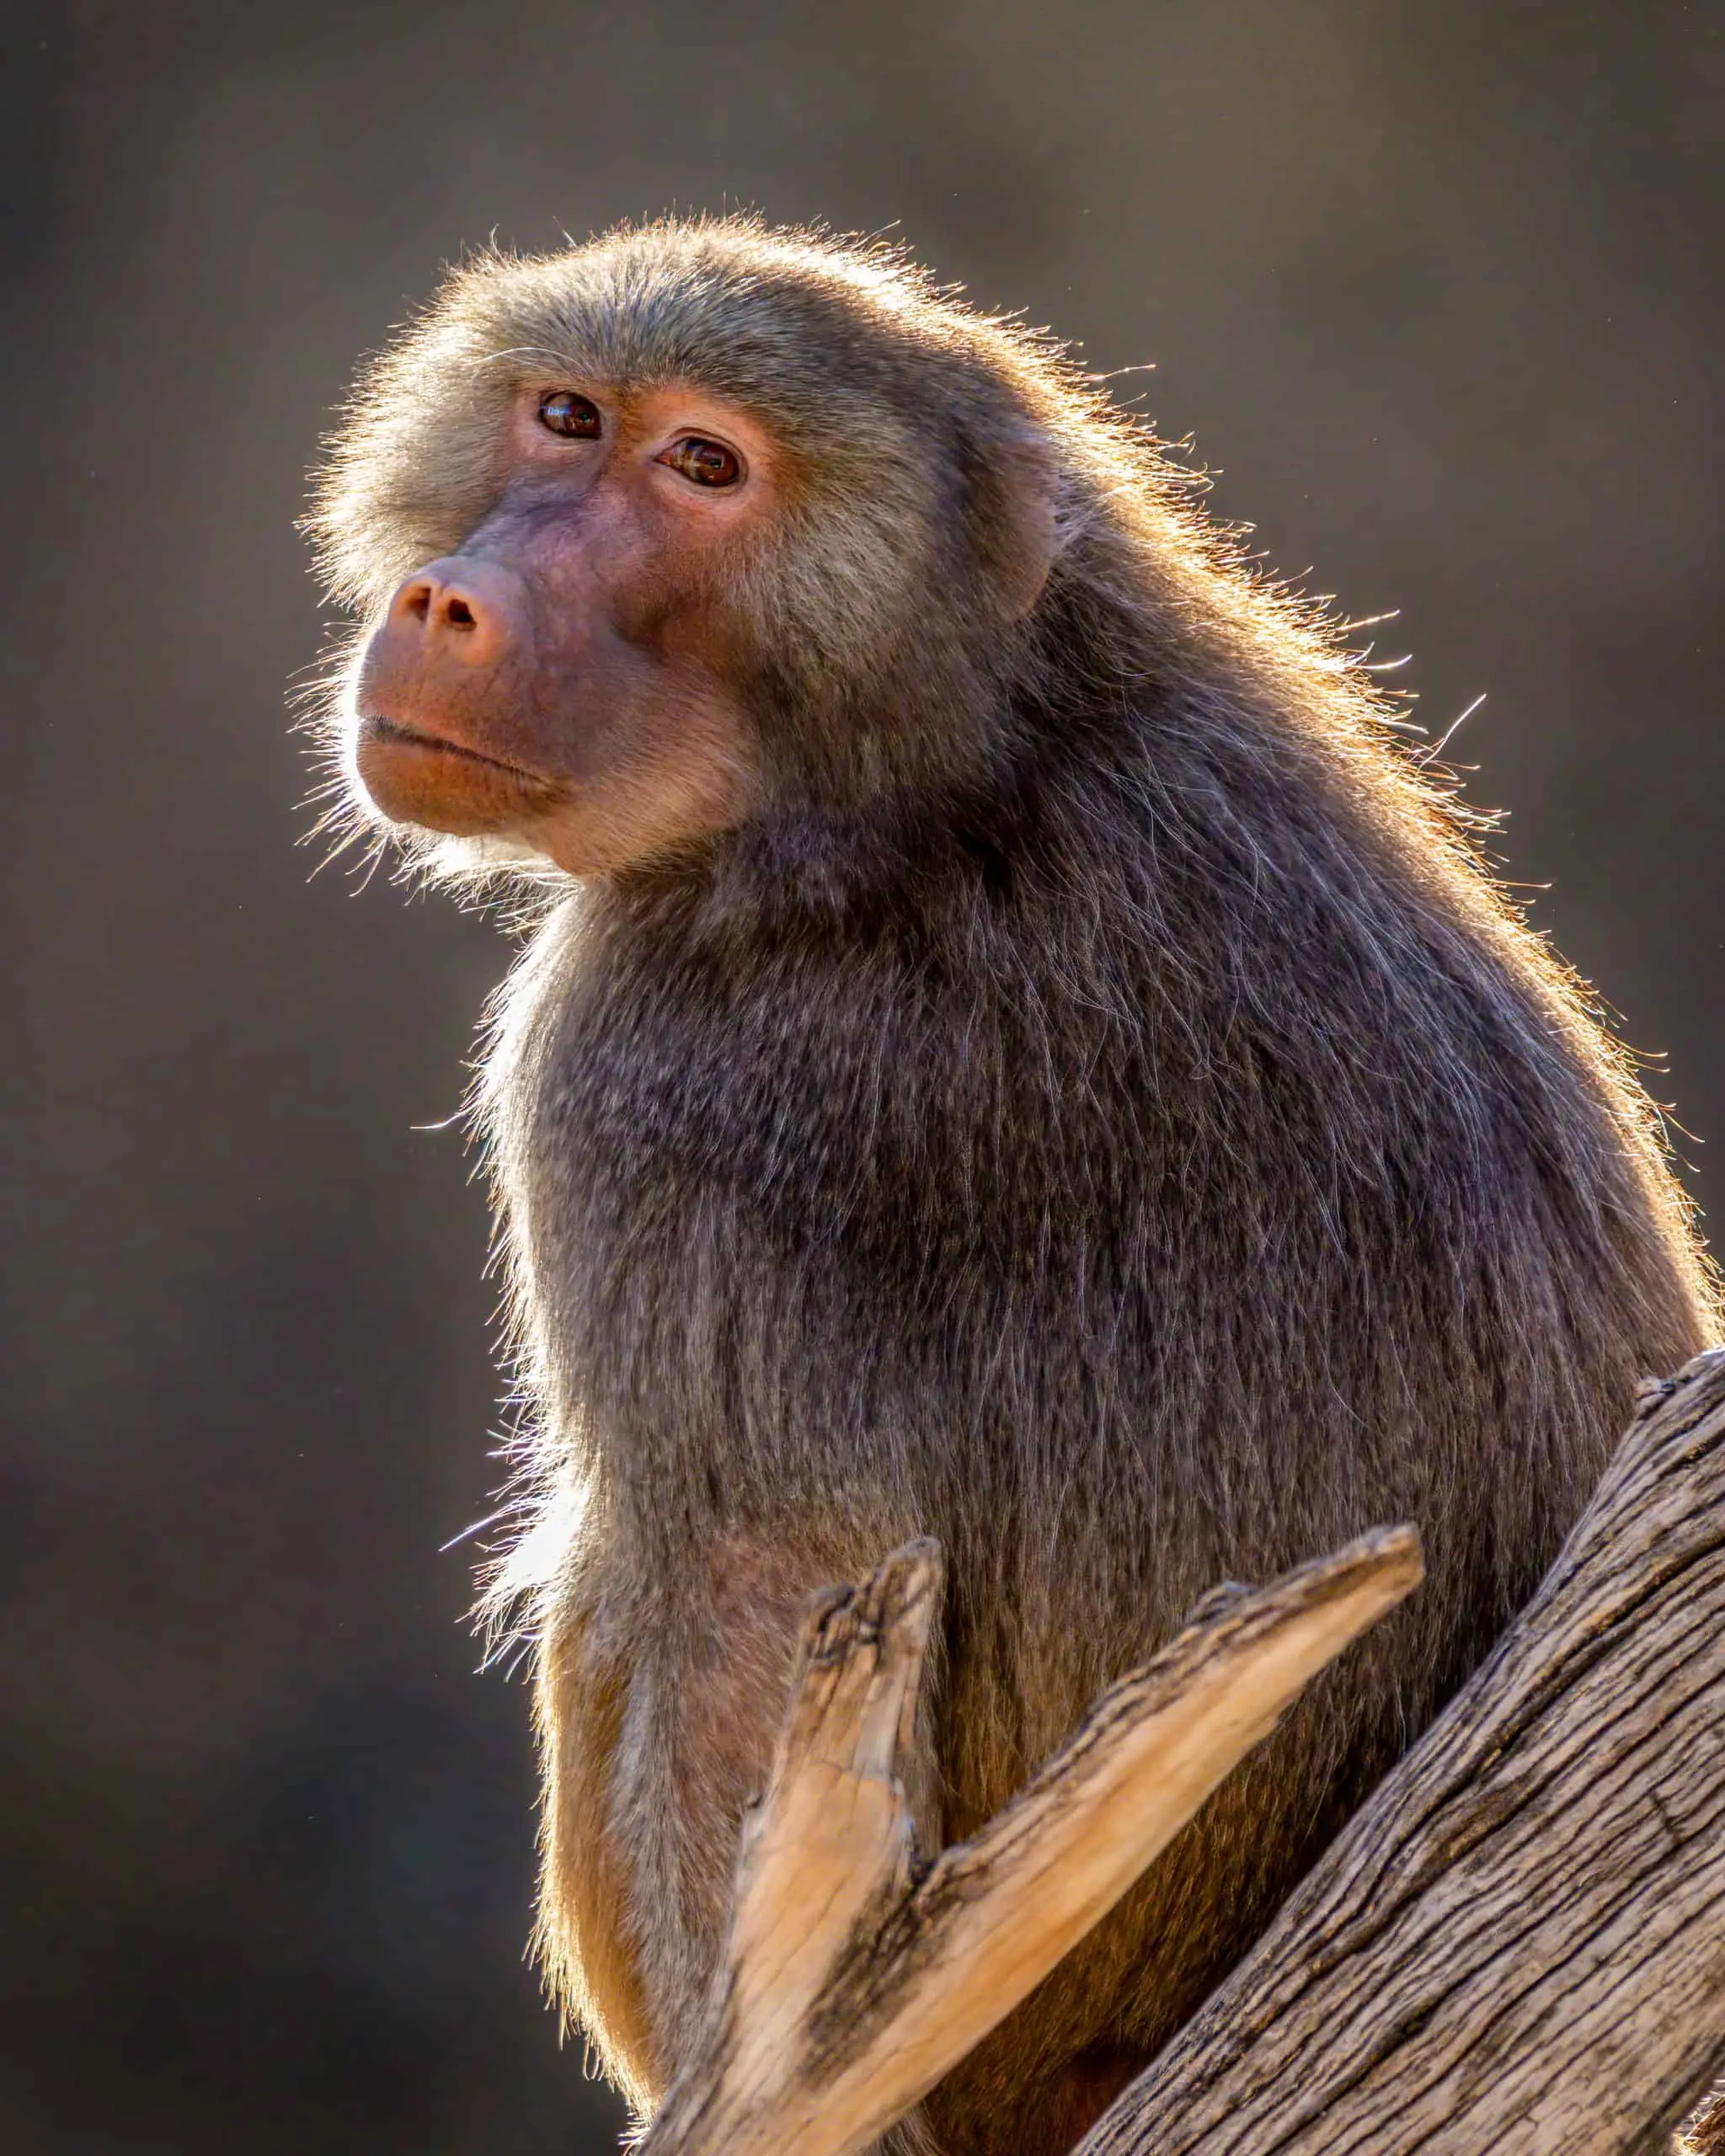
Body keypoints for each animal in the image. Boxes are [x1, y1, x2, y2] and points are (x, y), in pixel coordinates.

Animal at [306, 218, 1718, 2156]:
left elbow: (756, 1590)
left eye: (703, 467)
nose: (455, 600)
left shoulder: (632, 1072)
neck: (960, 760)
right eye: (565, 416)